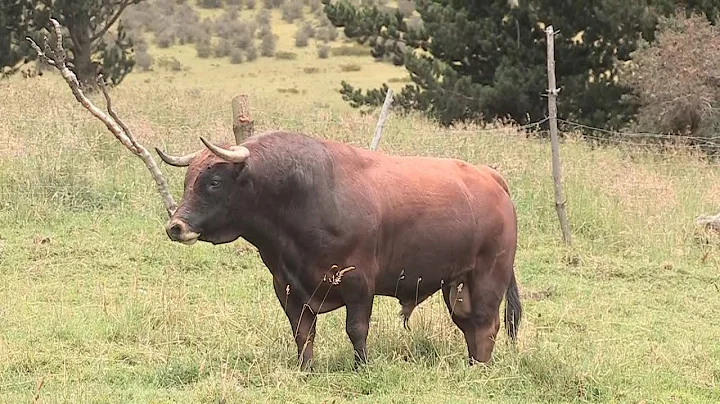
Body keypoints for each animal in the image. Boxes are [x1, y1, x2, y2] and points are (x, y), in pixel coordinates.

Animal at [155, 129, 520, 370]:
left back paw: (480, 369)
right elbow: (302, 333)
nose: (176, 226)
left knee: (485, 324)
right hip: (456, 283)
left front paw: (362, 368)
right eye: (188, 180)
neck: (303, 195)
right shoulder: (288, 288)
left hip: (488, 276)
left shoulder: (358, 284)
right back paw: (472, 364)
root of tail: (489, 175)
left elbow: (356, 330)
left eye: (214, 182)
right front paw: (305, 370)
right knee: (469, 324)